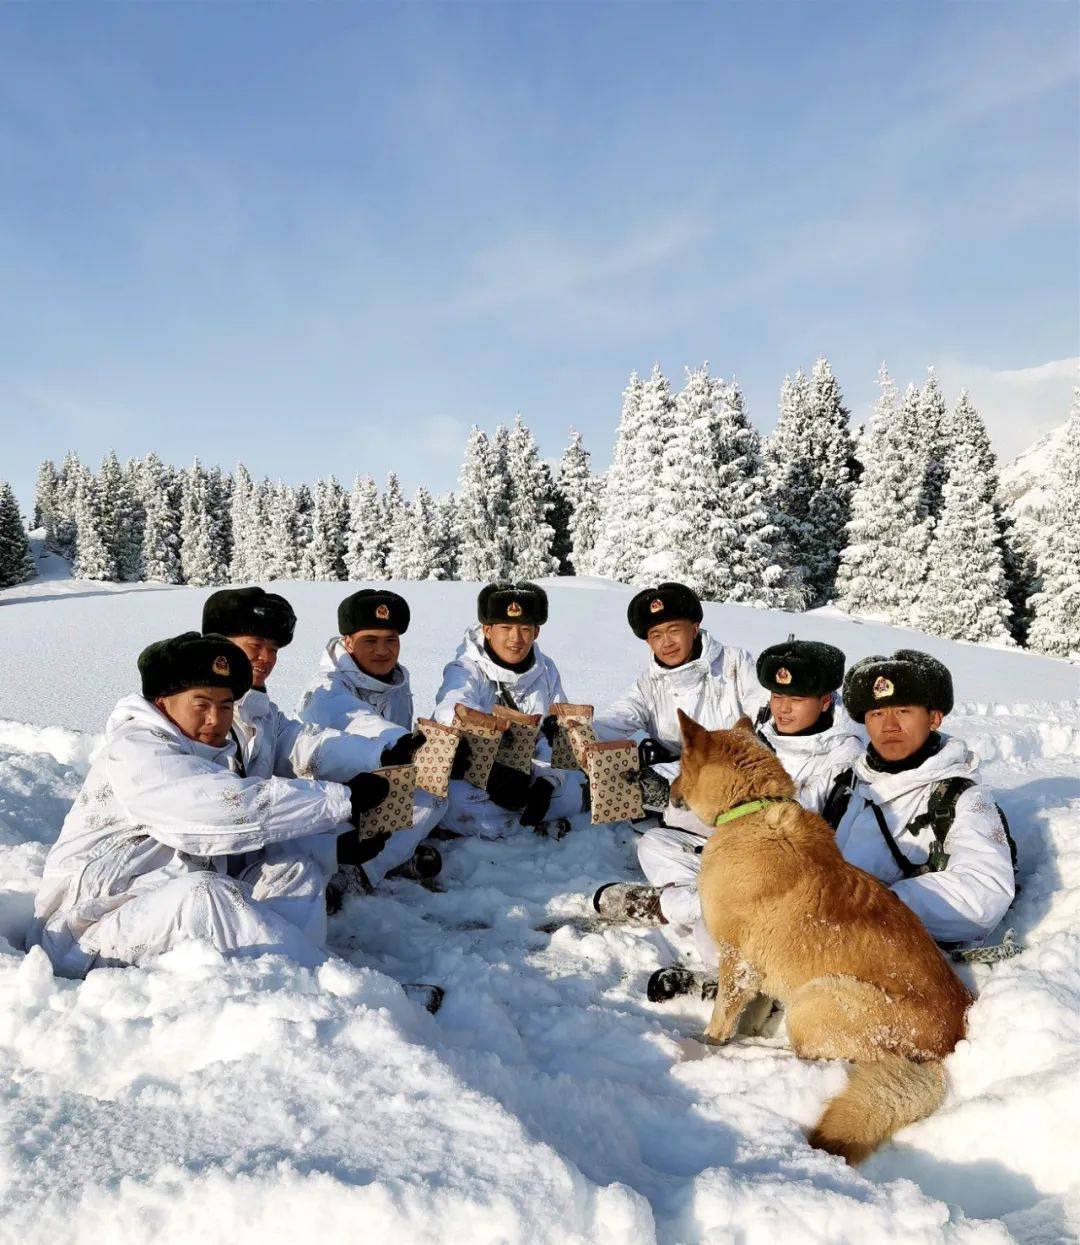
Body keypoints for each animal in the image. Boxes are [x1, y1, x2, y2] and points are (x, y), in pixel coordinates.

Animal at [672, 712, 976, 1165]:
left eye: (680, 763)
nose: (669, 791)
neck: (750, 809)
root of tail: (943, 1052)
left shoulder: (735, 960)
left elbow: (721, 1019)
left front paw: (711, 1045)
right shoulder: (757, 969)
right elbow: (753, 1010)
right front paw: (749, 1032)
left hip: (816, 1000)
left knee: (820, 1057)